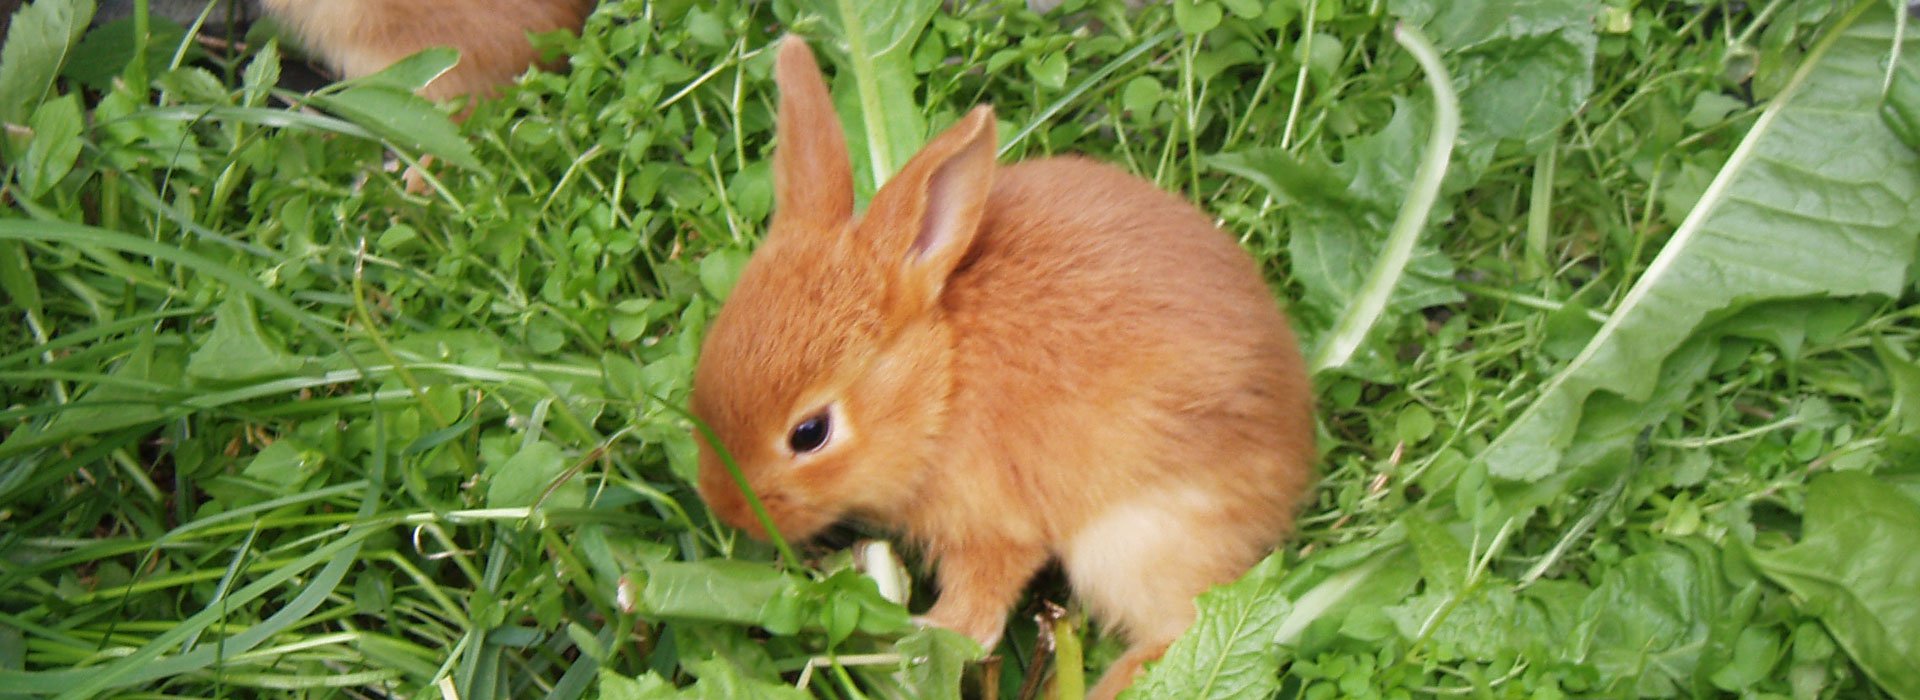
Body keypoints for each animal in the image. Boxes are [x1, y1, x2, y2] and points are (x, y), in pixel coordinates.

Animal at [691, 38, 1320, 698]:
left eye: (810, 433)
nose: (729, 508)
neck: (941, 378)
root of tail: (1292, 467)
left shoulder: (994, 525)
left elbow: (976, 616)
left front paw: (920, 637)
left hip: (1136, 536)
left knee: (1175, 630)